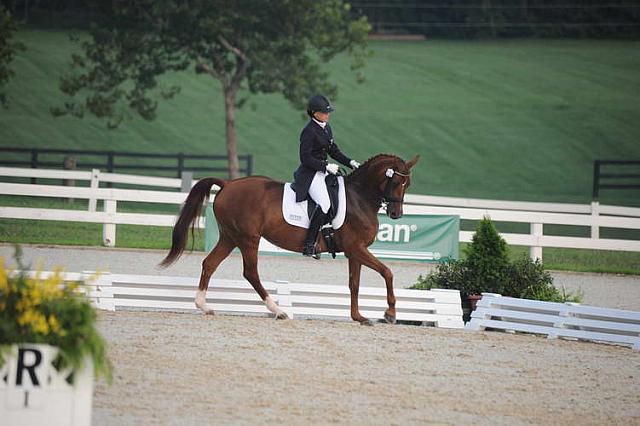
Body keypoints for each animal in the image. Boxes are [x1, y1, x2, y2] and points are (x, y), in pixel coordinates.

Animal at [160, 155, 420, 324]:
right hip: (248, 238)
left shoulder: (354, 251)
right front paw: (390, 314)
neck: (360, 198)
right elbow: (387, 272)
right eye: (396, 182)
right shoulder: (356, 248)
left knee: (209, 264)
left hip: (230, 237)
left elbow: (354, 283)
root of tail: (228, 183)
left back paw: (204, 306)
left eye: (408, 184)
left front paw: (358, 316)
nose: (396, 214)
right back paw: (278, 311)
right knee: (250, 273)